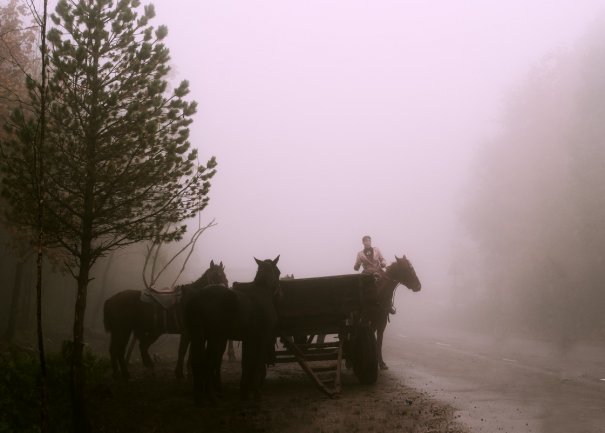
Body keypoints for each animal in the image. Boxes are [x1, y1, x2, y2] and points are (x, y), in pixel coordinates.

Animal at [185, 255, 282, 404]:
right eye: (278, 272)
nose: (279, 292)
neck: (261, 293)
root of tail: (197, 296)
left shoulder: (249, 339)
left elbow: (247, 362)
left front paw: (245, 393)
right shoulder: (262, 338)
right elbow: (258, 362)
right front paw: (256, 393)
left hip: (199, 336)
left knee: (196, 360)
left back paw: (199, 398)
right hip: (214, 338)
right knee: (207, 362)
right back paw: (212, 397)